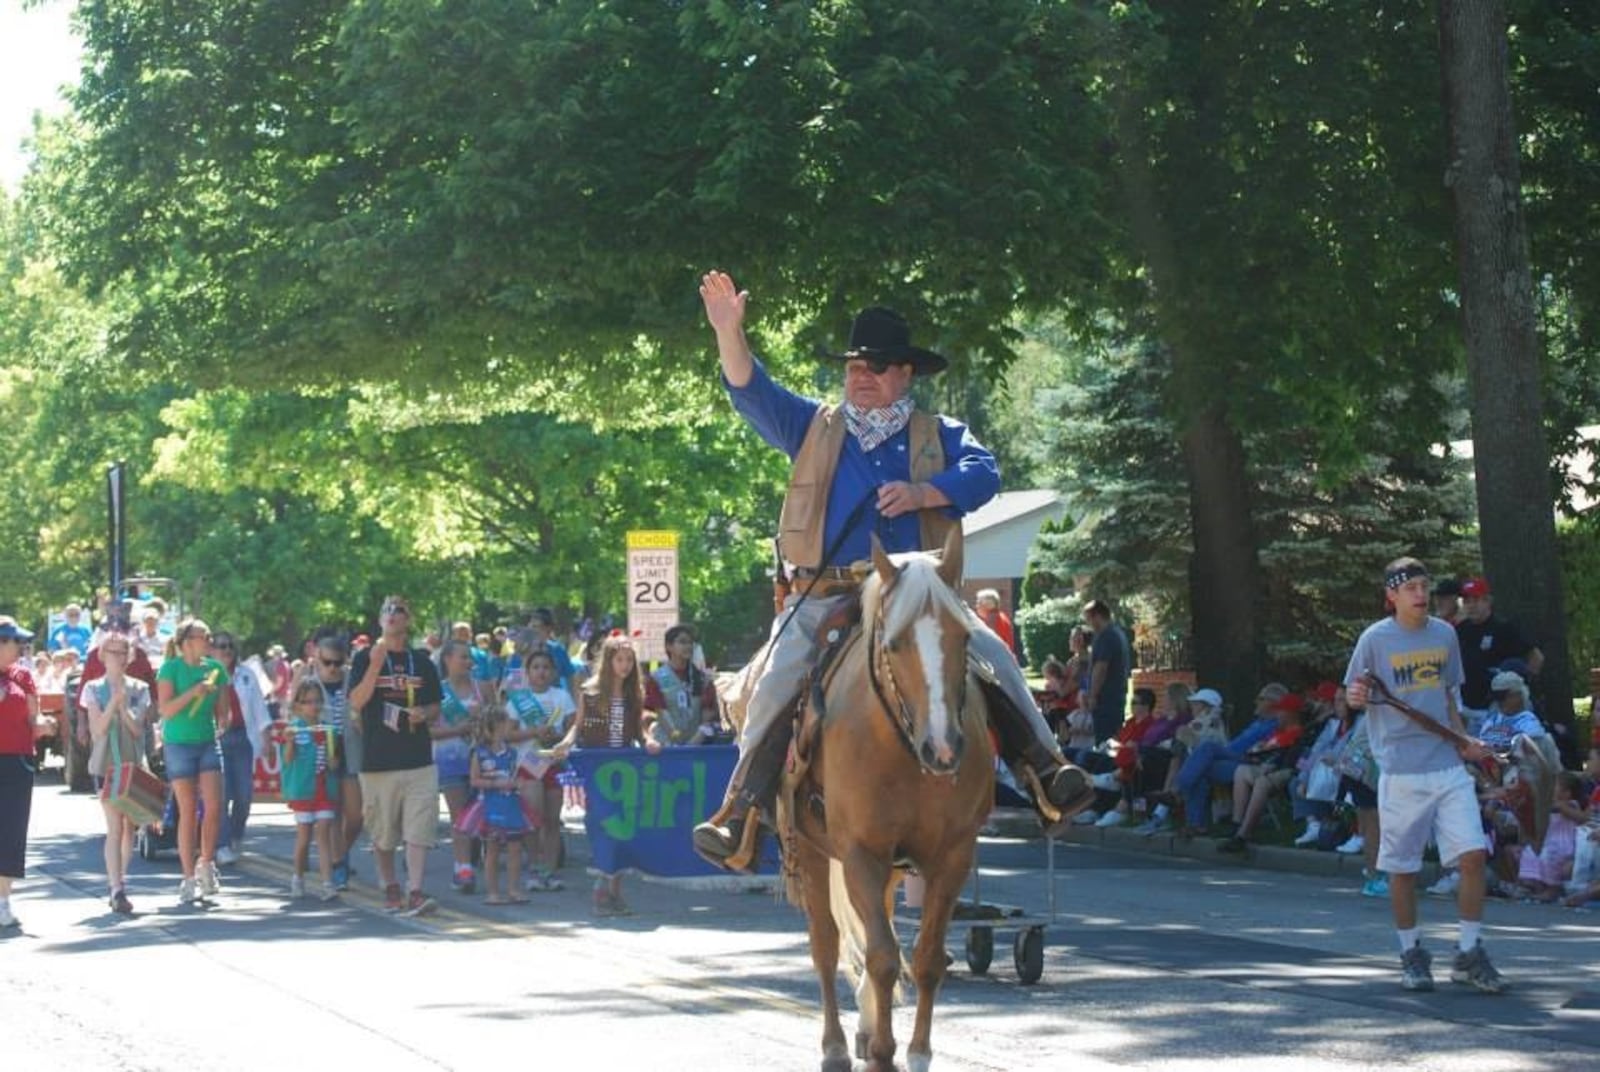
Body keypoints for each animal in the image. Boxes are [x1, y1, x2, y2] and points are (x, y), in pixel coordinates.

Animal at [777, 528, 992, 1072]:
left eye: (965, 638)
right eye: (894, 644)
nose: (944, 748)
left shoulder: (952, 855)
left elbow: (925, 957)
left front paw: (915, 1052)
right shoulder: (860, 854)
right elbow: (879, 956)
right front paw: (882, 1053)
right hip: (812, 850)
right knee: (826, 945)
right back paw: (835, 1045)